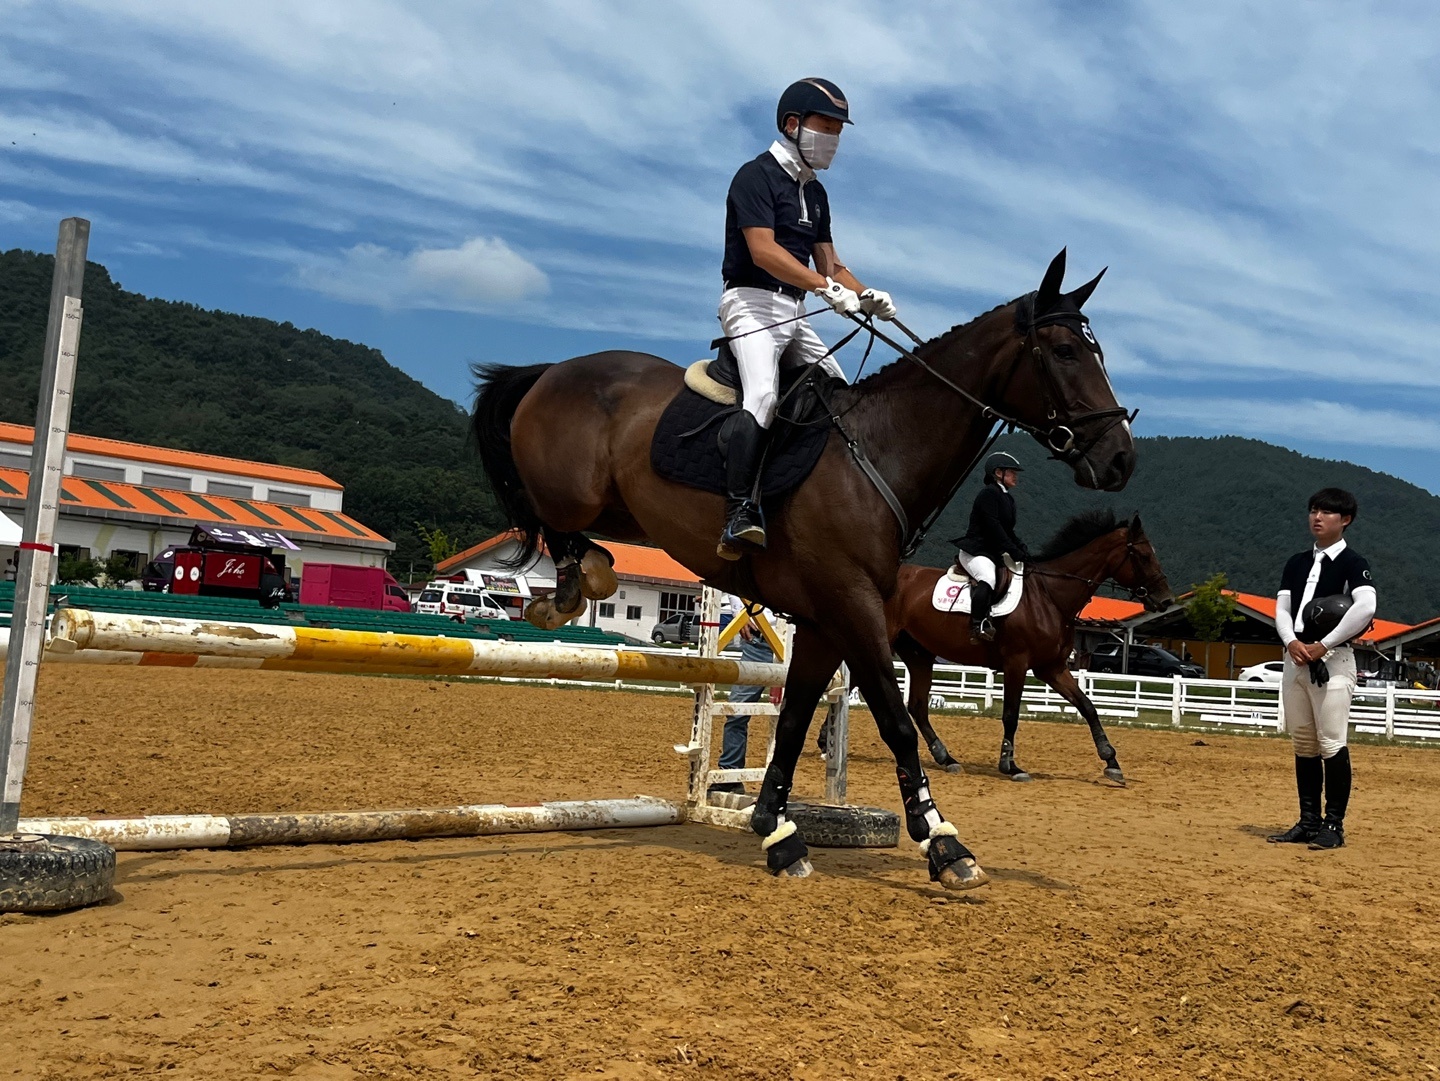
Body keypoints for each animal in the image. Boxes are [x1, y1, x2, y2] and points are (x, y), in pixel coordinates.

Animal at [472, 251, 1134, 886]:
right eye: (1066, 351)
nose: (1120, 459)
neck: (881, 450)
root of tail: (553, 370)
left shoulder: (823, 621)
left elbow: (792, 720)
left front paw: (776, 831)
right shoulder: (852, 605)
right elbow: (894, 719)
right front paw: (944, 844)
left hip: (624, 510)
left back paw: (575, 580)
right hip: (577, 495)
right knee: (544, 512)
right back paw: (571, 584)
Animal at [887, 512, 1169, 783]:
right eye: (1144, 556)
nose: (1166, 600)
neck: (1050, 596)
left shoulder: (1052, 669)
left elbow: (1087, 706)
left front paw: (1111, 762)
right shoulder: (1017, 664)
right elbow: (1011, 715)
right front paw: (1010, 766)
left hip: (918, 654)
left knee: (918, 706)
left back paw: (946, 759)